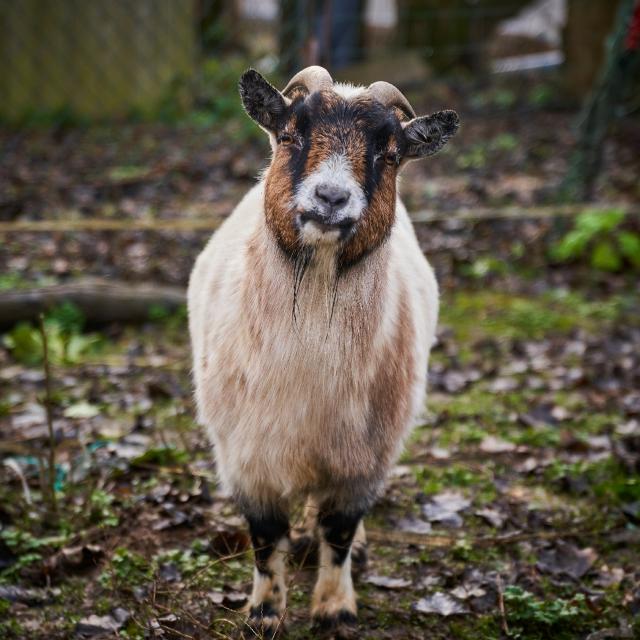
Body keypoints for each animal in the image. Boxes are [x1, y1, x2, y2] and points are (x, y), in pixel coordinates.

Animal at [189, 65, 460, 636]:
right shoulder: (247, 457)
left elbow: (338, 530)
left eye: (390, 154)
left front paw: (335, 608)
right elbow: (266, 537)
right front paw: (265, 613)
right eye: (290, 134)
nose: (331, 198)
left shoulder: (364, 461)